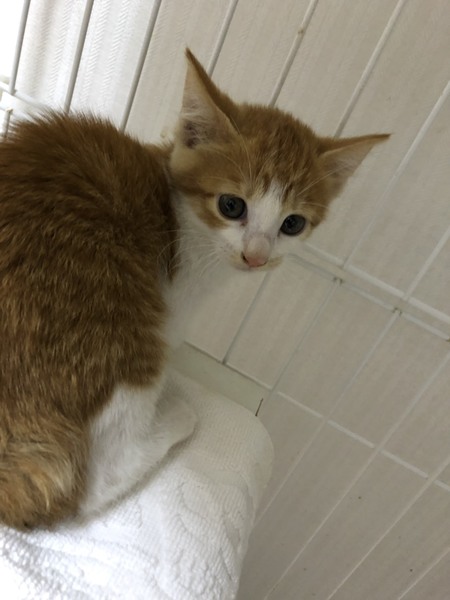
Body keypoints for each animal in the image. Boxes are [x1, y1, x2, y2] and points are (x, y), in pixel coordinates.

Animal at [0, 49, 388, 529]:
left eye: (293, 224)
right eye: (232, 205)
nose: (256, 256)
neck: (179, 219)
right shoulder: (169, 307)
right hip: (119, 328)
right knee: (99, 477)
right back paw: (176, 417)